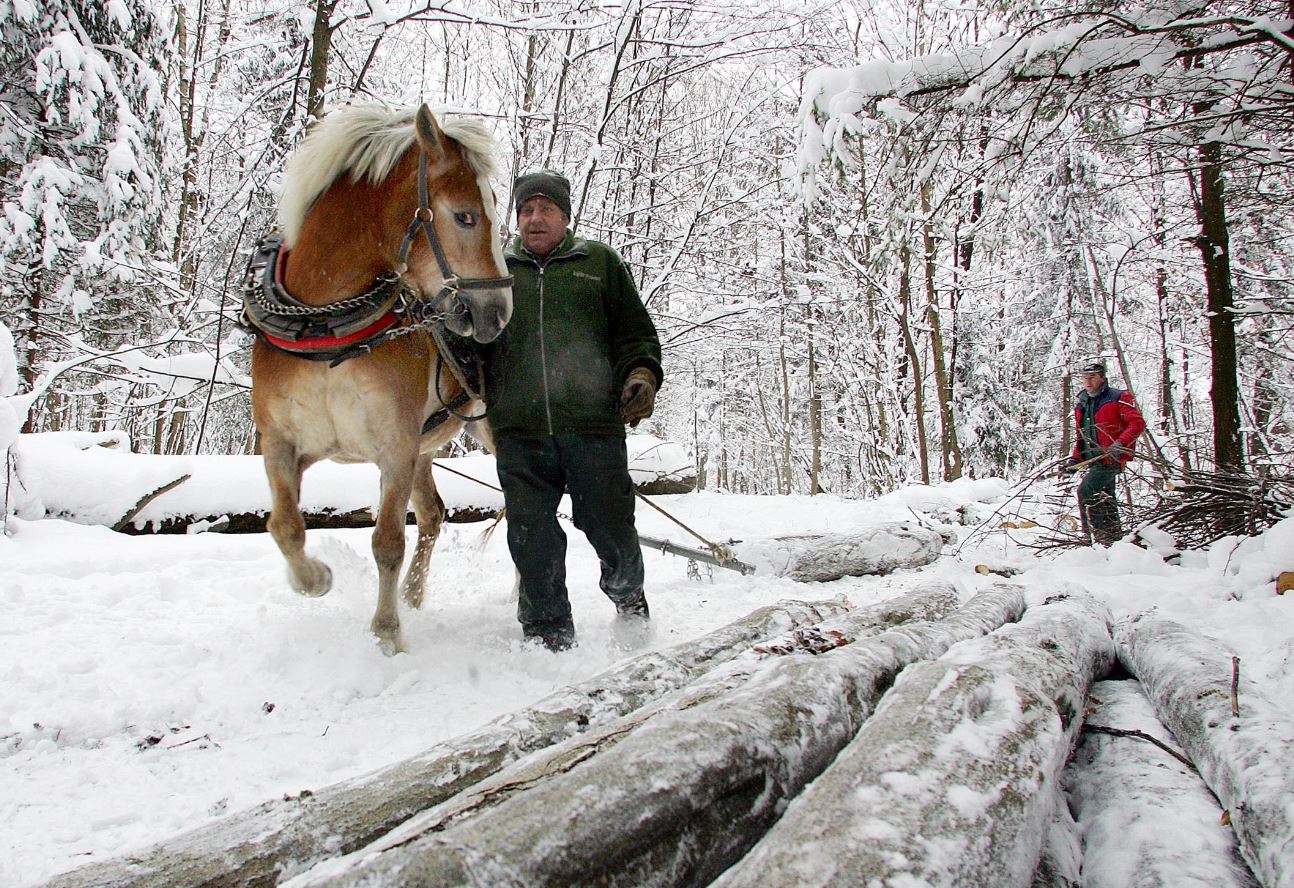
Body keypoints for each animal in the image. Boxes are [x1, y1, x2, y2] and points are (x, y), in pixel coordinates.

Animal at [249, 104, 512, 654]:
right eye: (466, 215)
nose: (497, 312)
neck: (325, 330)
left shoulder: (394, 446)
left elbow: (388, 540)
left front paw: (387, 632)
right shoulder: (283, 442)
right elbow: (284, 525)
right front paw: (314, 579)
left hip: (484, 432)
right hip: (425, 447)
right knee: (432, 515)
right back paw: (413, 595)